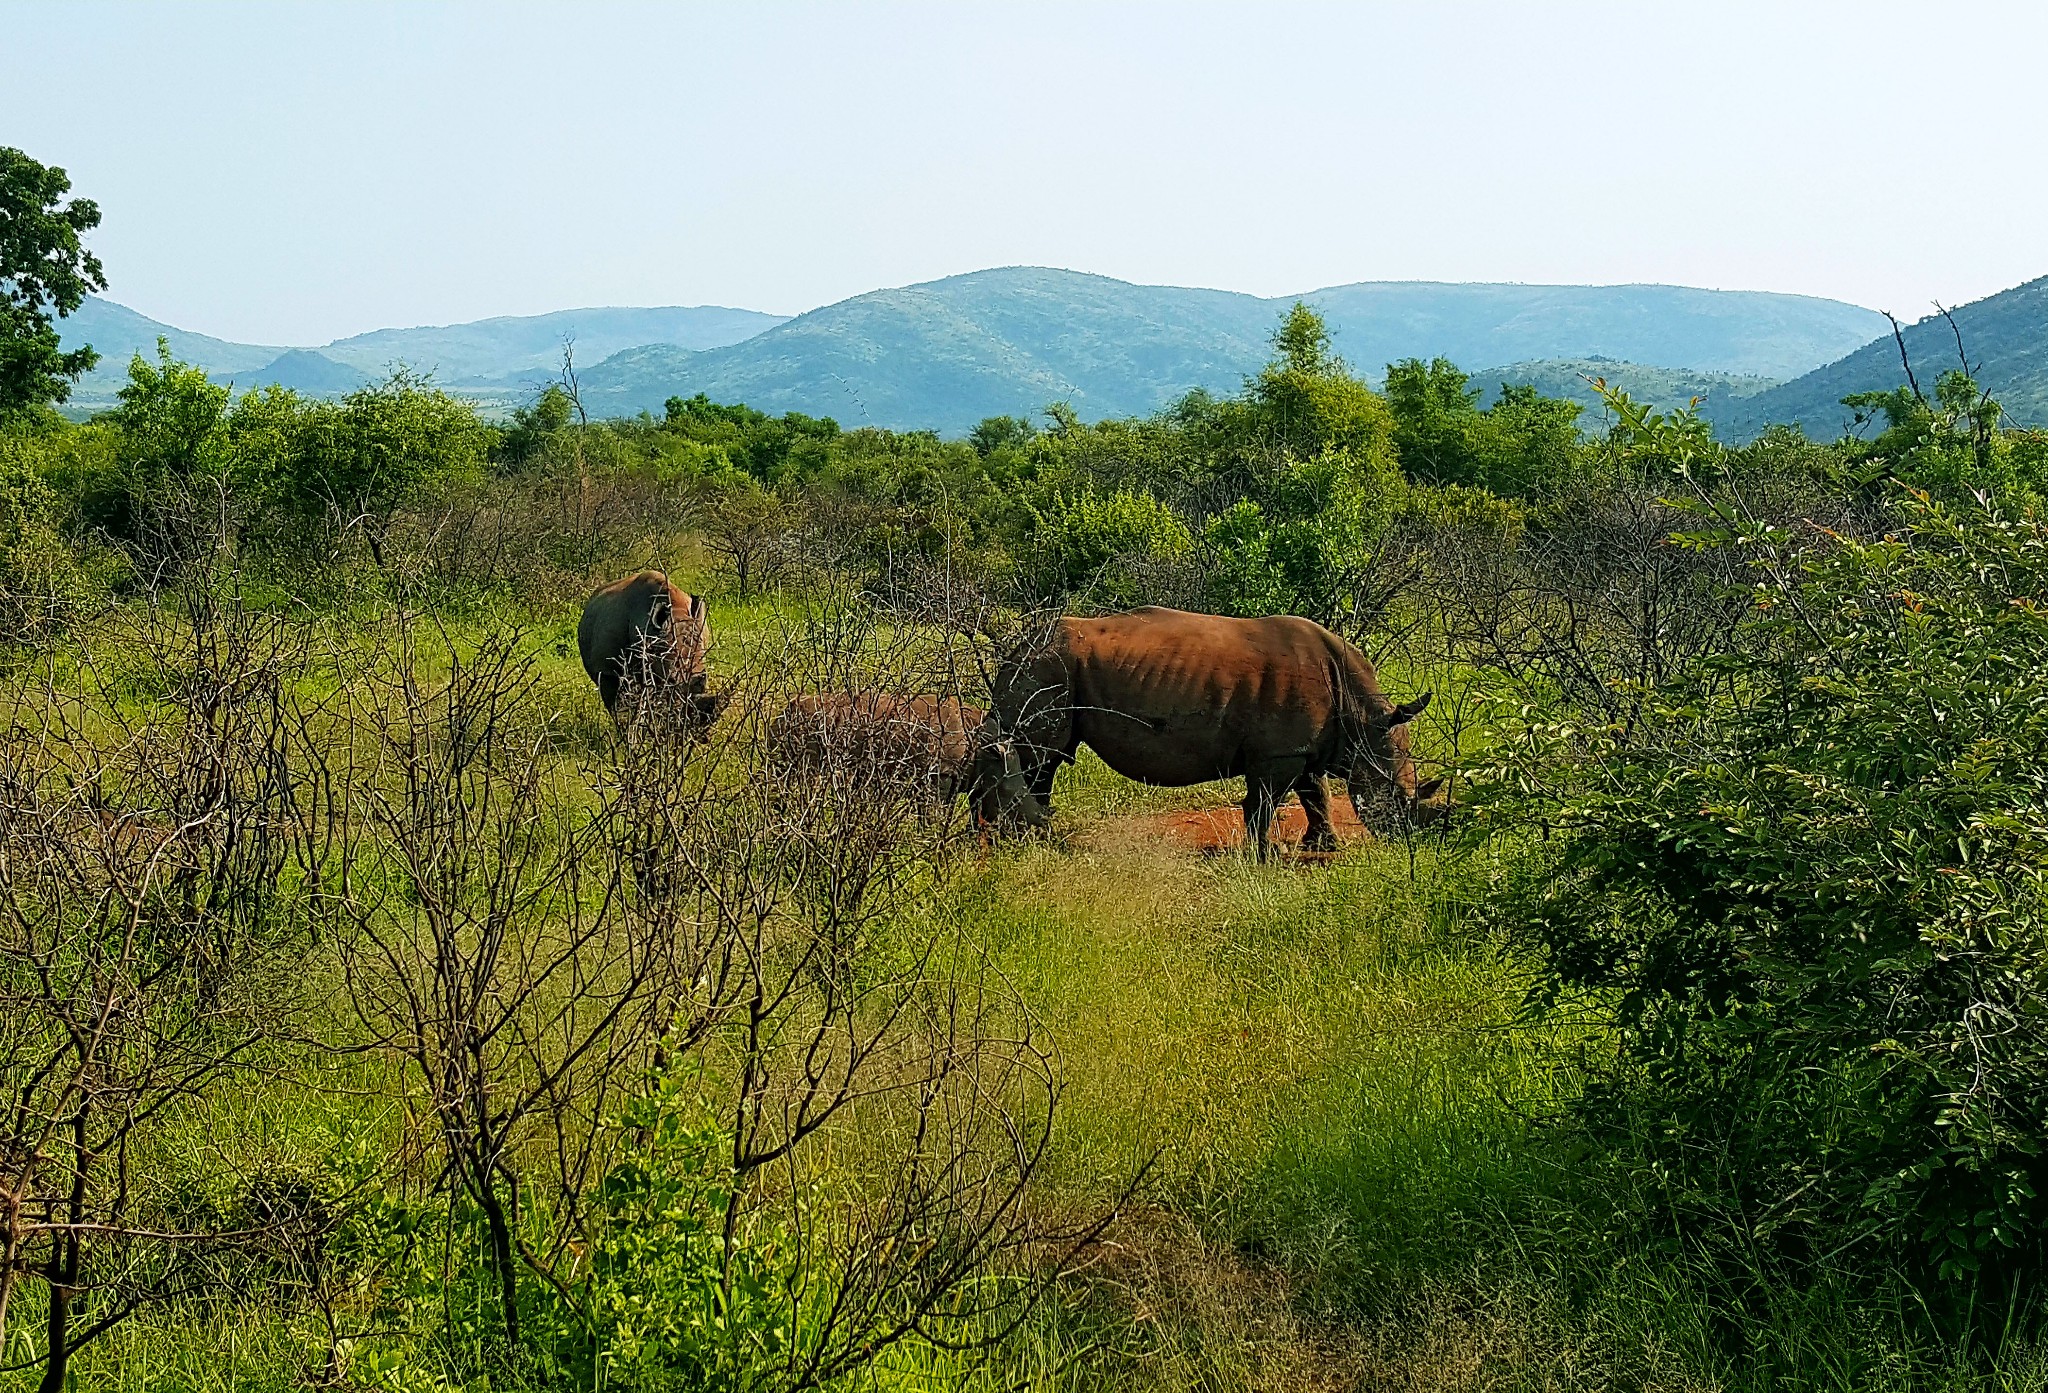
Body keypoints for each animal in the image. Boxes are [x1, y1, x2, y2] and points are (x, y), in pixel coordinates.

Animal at [774, 692, 1048, 827]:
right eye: (1013, 799)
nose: (1036, 828)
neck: (986, 748)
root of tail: (784, 710)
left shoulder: (951, 775)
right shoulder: (939, 773)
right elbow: (932, 815)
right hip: (809, 730)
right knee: (806, 780)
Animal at [987, 602, 1441, 856]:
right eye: (1397, 797)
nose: (1409, 840)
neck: (1362, 719)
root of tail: (1015, 647)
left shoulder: (1305, 746)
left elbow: (1317, 794)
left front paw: (1324, 845)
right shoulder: (1278, 753)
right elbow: (1265, 801)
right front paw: (1267, 853)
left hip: (1045, 666)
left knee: (1041, 761)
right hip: (1046, 667)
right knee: (1039, 758)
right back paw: (1033, 840)